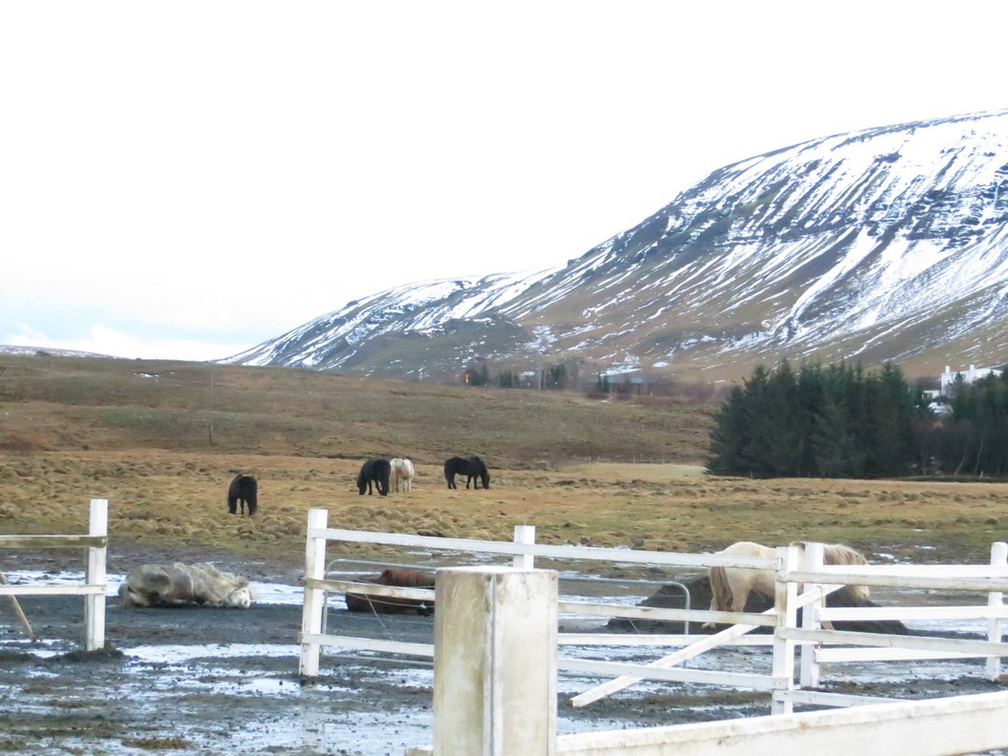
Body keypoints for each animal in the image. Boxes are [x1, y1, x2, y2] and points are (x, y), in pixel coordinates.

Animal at [118, 564, 254, 608]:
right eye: (243, 591)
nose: (246, 603)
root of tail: (128, 580)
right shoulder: (202, 590)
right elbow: (219, 601)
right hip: (165, 581)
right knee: (164, 599)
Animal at [705, 540, 870, 628]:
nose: (865, 595)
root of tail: (724, 553)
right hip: (740, 592)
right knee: (736, 609)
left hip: (726, 590)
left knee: (714, 603)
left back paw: (709, 625)